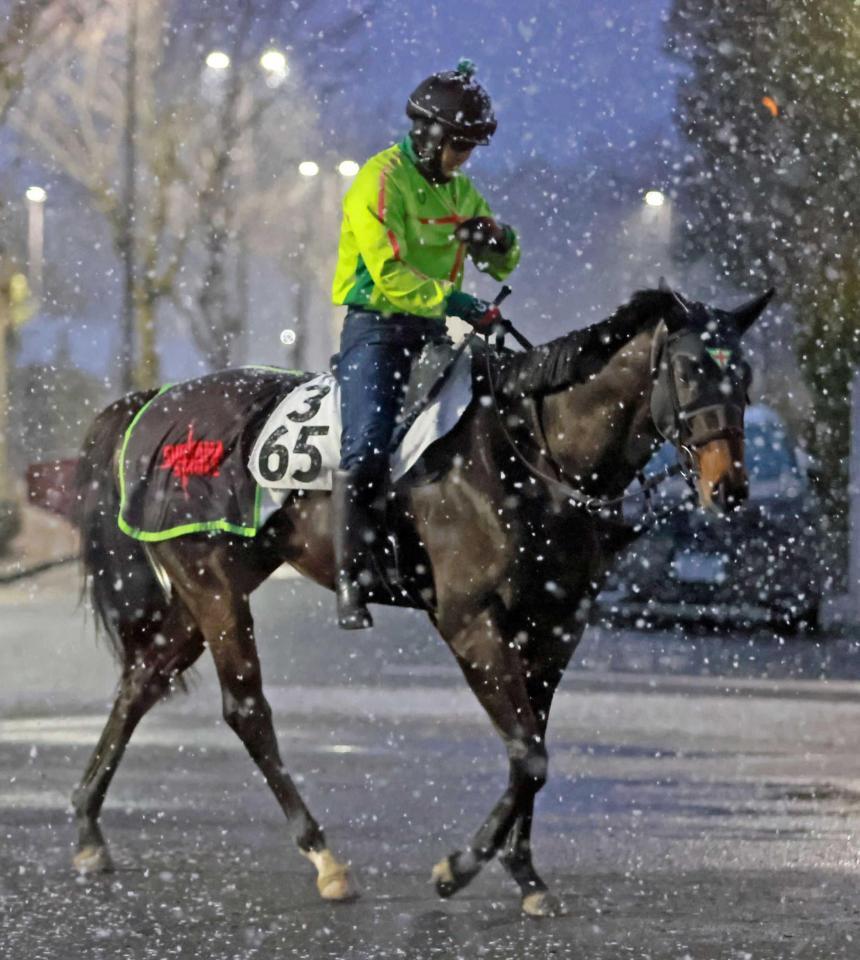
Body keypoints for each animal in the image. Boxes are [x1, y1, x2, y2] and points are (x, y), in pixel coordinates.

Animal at [72, 284, 772, 916]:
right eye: (689, 369)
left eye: (744, 373)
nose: (729, 487)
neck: (527, 452)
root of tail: (154, 403)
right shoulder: (471, 623)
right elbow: (529, 754)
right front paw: (458, 868)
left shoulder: (554, 627)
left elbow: (534, 747)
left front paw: (525, 875)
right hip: (212, 582)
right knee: (246, 709)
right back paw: (325, 859)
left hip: (214, 584)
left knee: (143, 677)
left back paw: (86, 829)